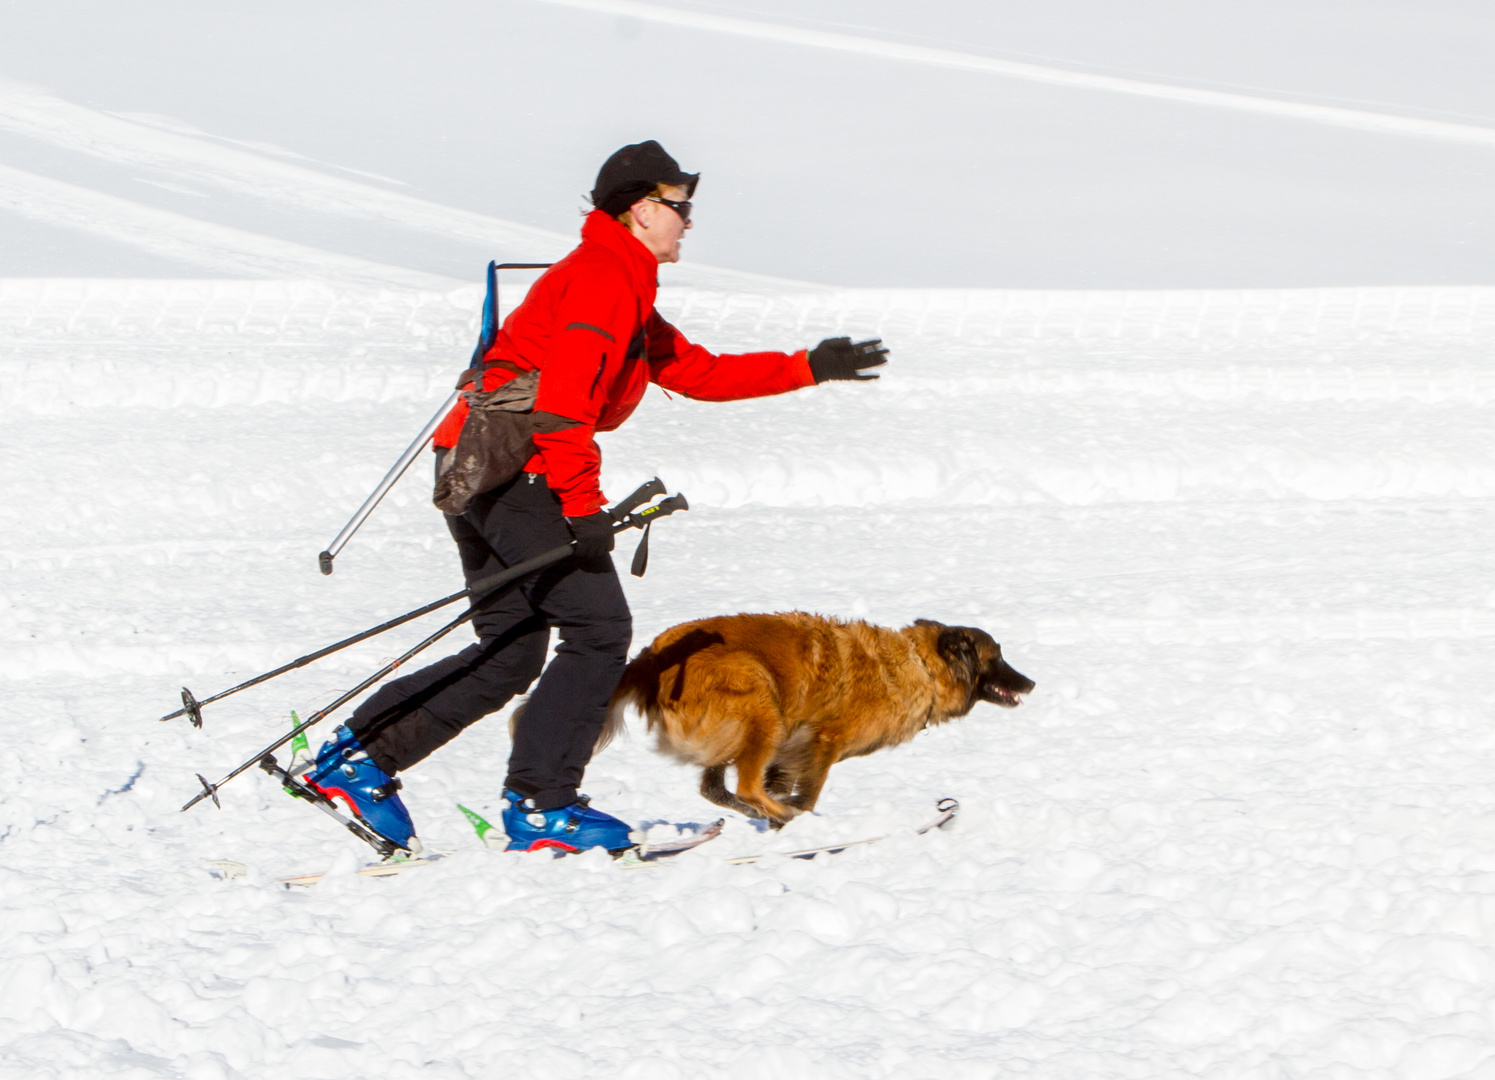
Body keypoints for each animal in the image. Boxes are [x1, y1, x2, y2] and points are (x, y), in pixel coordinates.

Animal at [600, 610, 1034, 819]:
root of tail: (651, 658)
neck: (920, 664)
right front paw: (799, 815)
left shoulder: (789, 755)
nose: (1030, 683)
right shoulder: (822, 743)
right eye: (997, 657)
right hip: (762, 704)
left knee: (717, 790)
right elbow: (808, 792)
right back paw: (783, 815)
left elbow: (777, 781)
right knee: (746, 787)